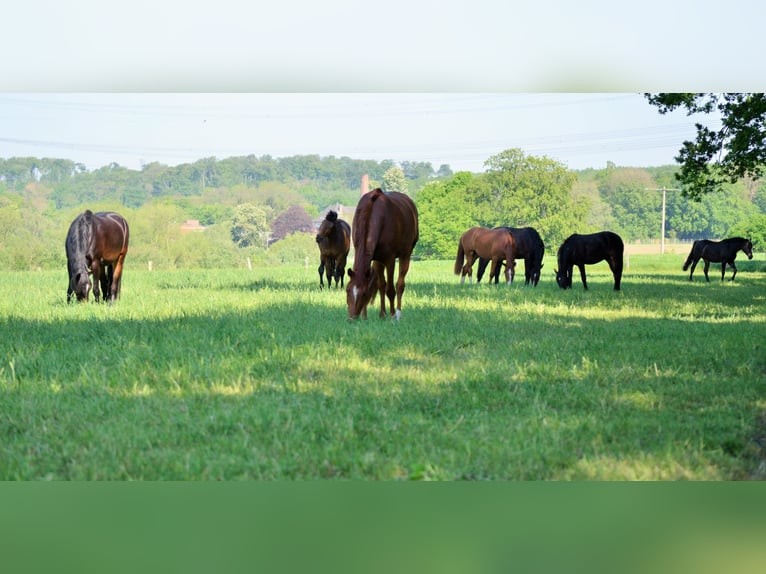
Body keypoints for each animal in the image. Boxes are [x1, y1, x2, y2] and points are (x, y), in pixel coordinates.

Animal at [346, 190, 420, 322]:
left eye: (363, 293)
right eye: (347, 290)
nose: (351, 318)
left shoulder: (389, 260)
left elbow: (390, 289)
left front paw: (392, 315)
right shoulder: (375, 258)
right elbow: (379, 285)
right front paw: (368, 316)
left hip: (405, 255)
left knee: (400, 285)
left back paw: (398, 314)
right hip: (378, 261)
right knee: (381, 285)